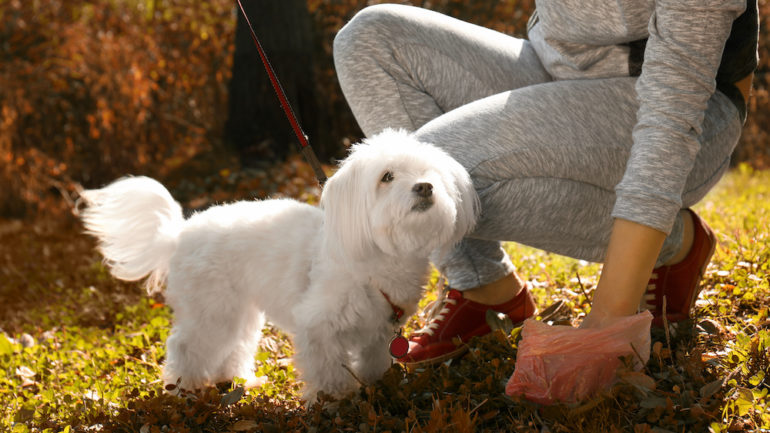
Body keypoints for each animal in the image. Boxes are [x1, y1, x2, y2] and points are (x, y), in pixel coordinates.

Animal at [76, 128, 474, 402]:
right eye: (387, 177)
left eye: (430, 173)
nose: (424, 187)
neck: (377, 258)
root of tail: (179, 232)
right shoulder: (318, 326)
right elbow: (328, 370)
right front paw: (334, 400)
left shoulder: (379, 333)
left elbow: (375, 363)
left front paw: (375, 387)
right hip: (211, 310)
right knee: (186, 346)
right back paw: (183, 389)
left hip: (239, 311)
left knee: (234, 346)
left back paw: (239, 381)